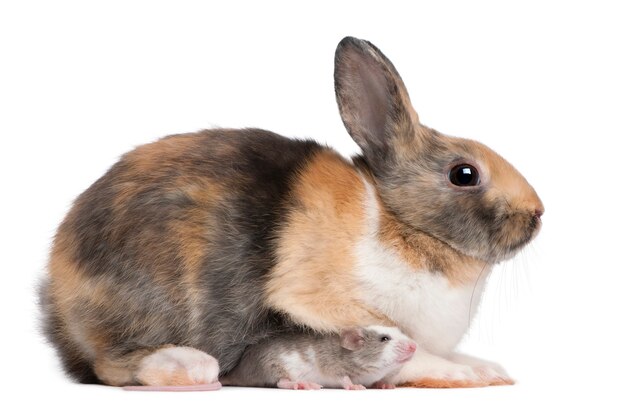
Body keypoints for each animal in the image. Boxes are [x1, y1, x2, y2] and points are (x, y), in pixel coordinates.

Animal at [40, 37, 540, 388]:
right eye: (463, 174)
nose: (538, 213)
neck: (399, 223)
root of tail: (59, 299)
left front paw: (487, 365)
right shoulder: (324, 305)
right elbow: (401, 355)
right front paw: (472, 376)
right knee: (109, 364)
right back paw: (190, 365)